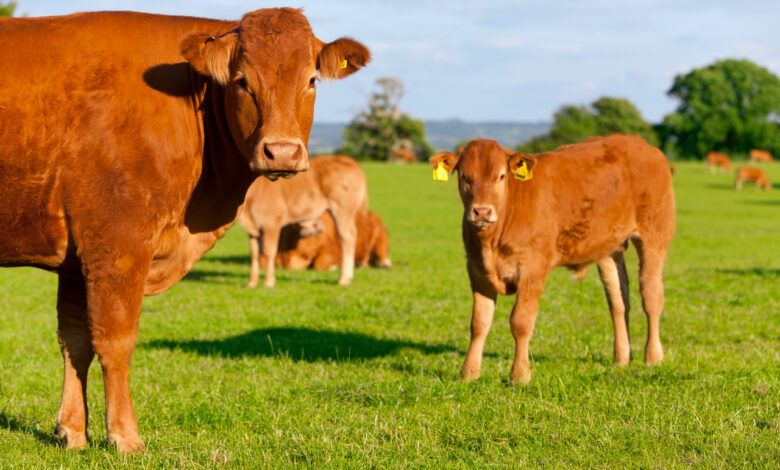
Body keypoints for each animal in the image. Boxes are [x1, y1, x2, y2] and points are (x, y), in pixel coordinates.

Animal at [240, 155, 368, 287]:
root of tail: (345, 159)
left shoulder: (272, 222)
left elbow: (268, 252)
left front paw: (269, 282)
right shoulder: (253, 229)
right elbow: (255, 254)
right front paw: (251, 283)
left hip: (343, 210)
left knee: (347, 237)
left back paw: (344, 278)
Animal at [429, 135, 676, 385]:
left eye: (501, 176)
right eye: (464, 176)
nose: (482, 212)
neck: (492, 242)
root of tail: (641, 144)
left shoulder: (533, 269)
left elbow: (521, 322)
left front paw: (520, 375)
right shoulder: (476, 270)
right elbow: (479, 323)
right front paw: (469, 373)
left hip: (654, 236)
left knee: (651, 296)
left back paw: (653, 356)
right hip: (609, 248)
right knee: (618, 301)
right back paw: (622, 357)